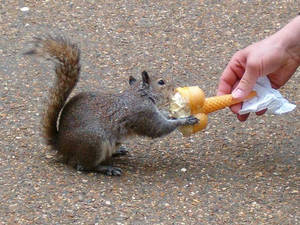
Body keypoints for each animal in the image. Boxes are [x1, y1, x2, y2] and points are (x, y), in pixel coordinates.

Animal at [25, 35, 199, 176]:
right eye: (161, 82)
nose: (174, 88)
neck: (138, 95)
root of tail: (61, 146)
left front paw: (172, 114)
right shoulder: (143, 114)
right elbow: (159, 129)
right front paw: (186, 120)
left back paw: (117, 152)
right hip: (94, 143)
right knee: (82, 166)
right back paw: (107, 168)